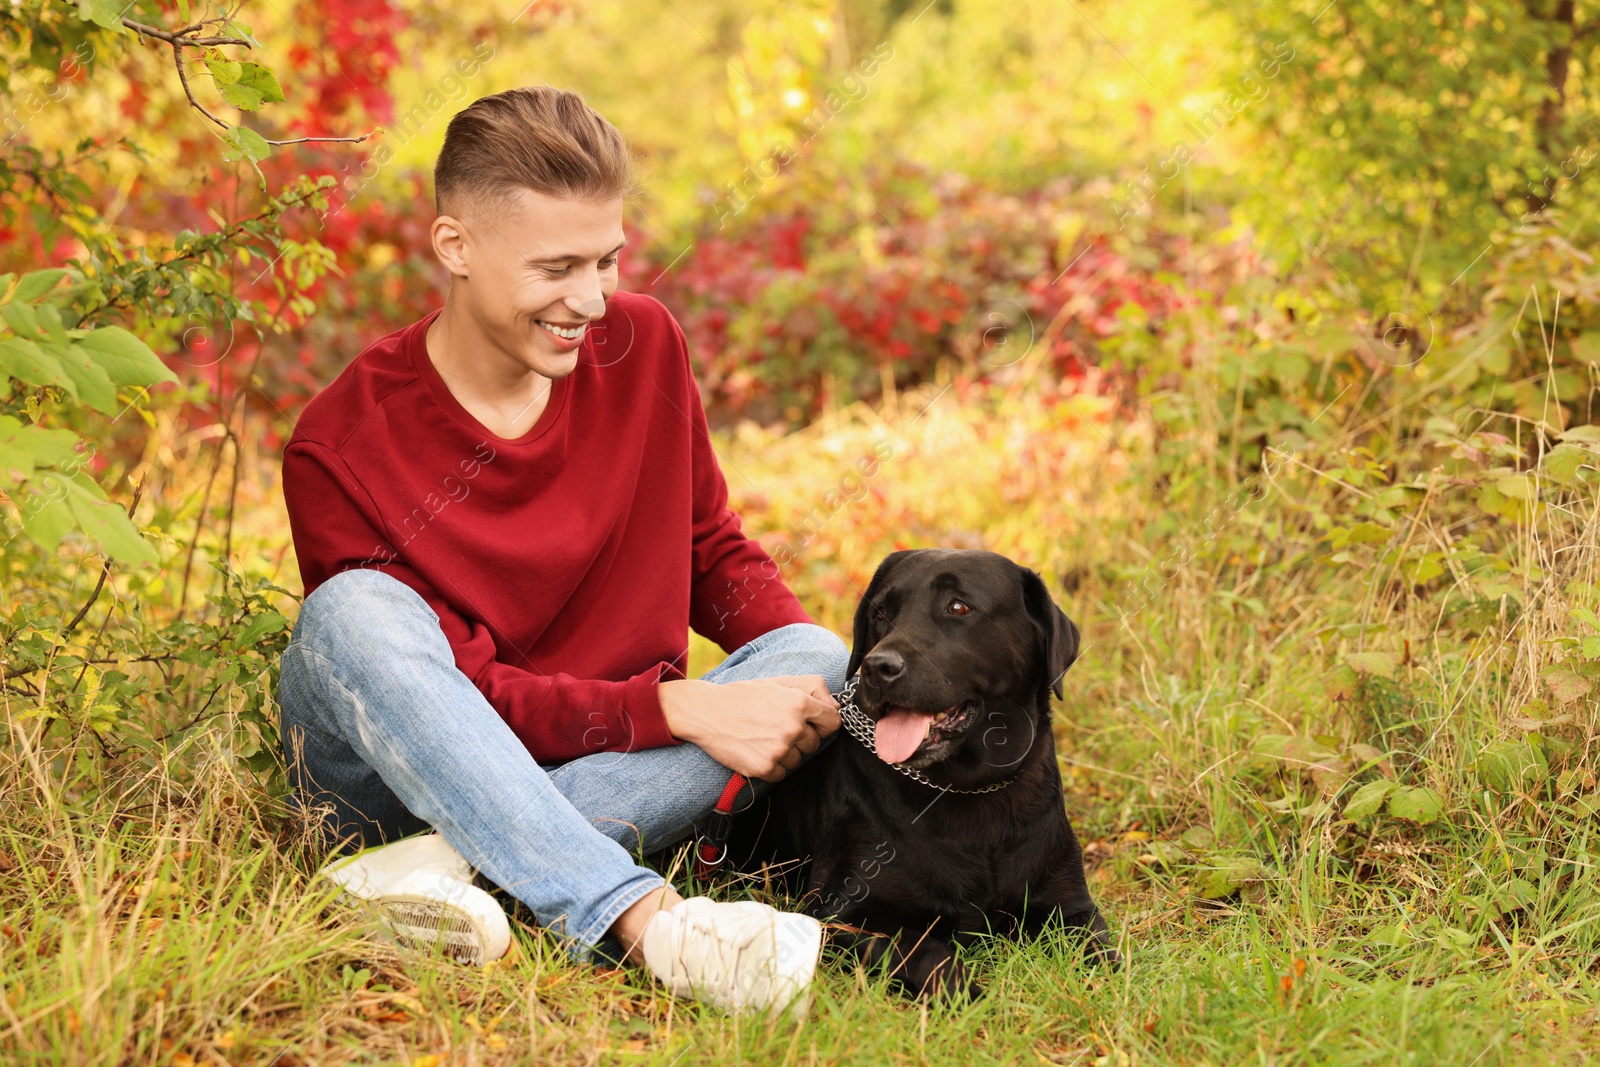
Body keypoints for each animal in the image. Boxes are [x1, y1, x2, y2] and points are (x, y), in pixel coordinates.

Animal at [732, 550, 1120, 1004]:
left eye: (959, 607)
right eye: (881, 613)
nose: (877, 667)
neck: (967, 790)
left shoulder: (1071, 906)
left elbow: (1103, 954)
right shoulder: (838, 912)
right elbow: (924, 949)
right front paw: (969, 997)